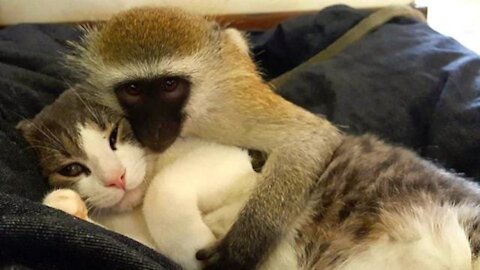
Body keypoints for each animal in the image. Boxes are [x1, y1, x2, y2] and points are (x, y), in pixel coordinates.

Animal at [18, 87, 480, 268]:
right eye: (72, 168)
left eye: (115, 135)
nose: (114, 178)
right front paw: (68, 206)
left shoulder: (244, 160)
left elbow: (166, 191)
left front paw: (196, 243)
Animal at [67, 6, 344, 268]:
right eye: (133, 89)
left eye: (169, 85)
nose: (155, 129)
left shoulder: (230, 102)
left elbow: (308, 137)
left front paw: (239, 249)